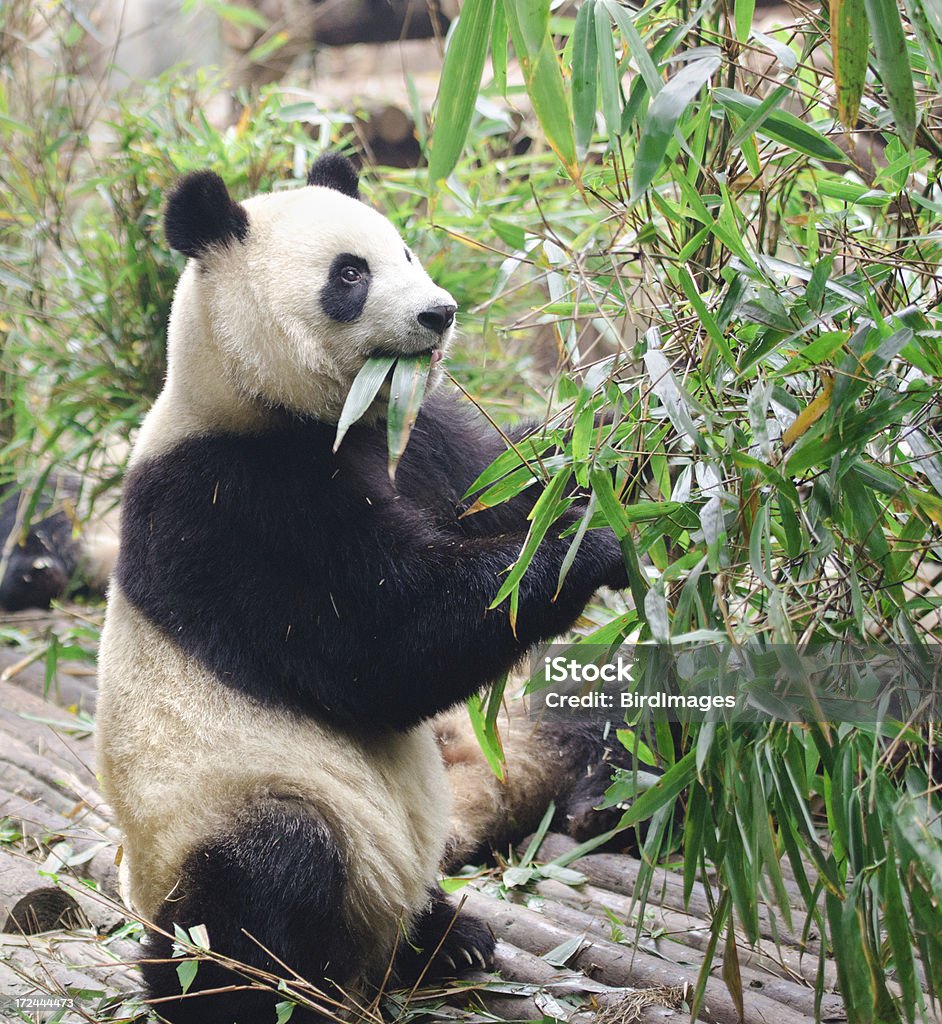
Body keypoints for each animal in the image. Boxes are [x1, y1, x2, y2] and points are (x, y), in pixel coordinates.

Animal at [95, 153, 630, 1024]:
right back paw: (246, 992)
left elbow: (498, 482)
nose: (439, 313)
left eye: (405, 252)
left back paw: (452, 937)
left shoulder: (416, 436)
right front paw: (584, 546)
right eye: (350, 275)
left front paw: (637, 432)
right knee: (267, 876)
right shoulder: (230, 504)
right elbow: (379, 647)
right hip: (220, 818)